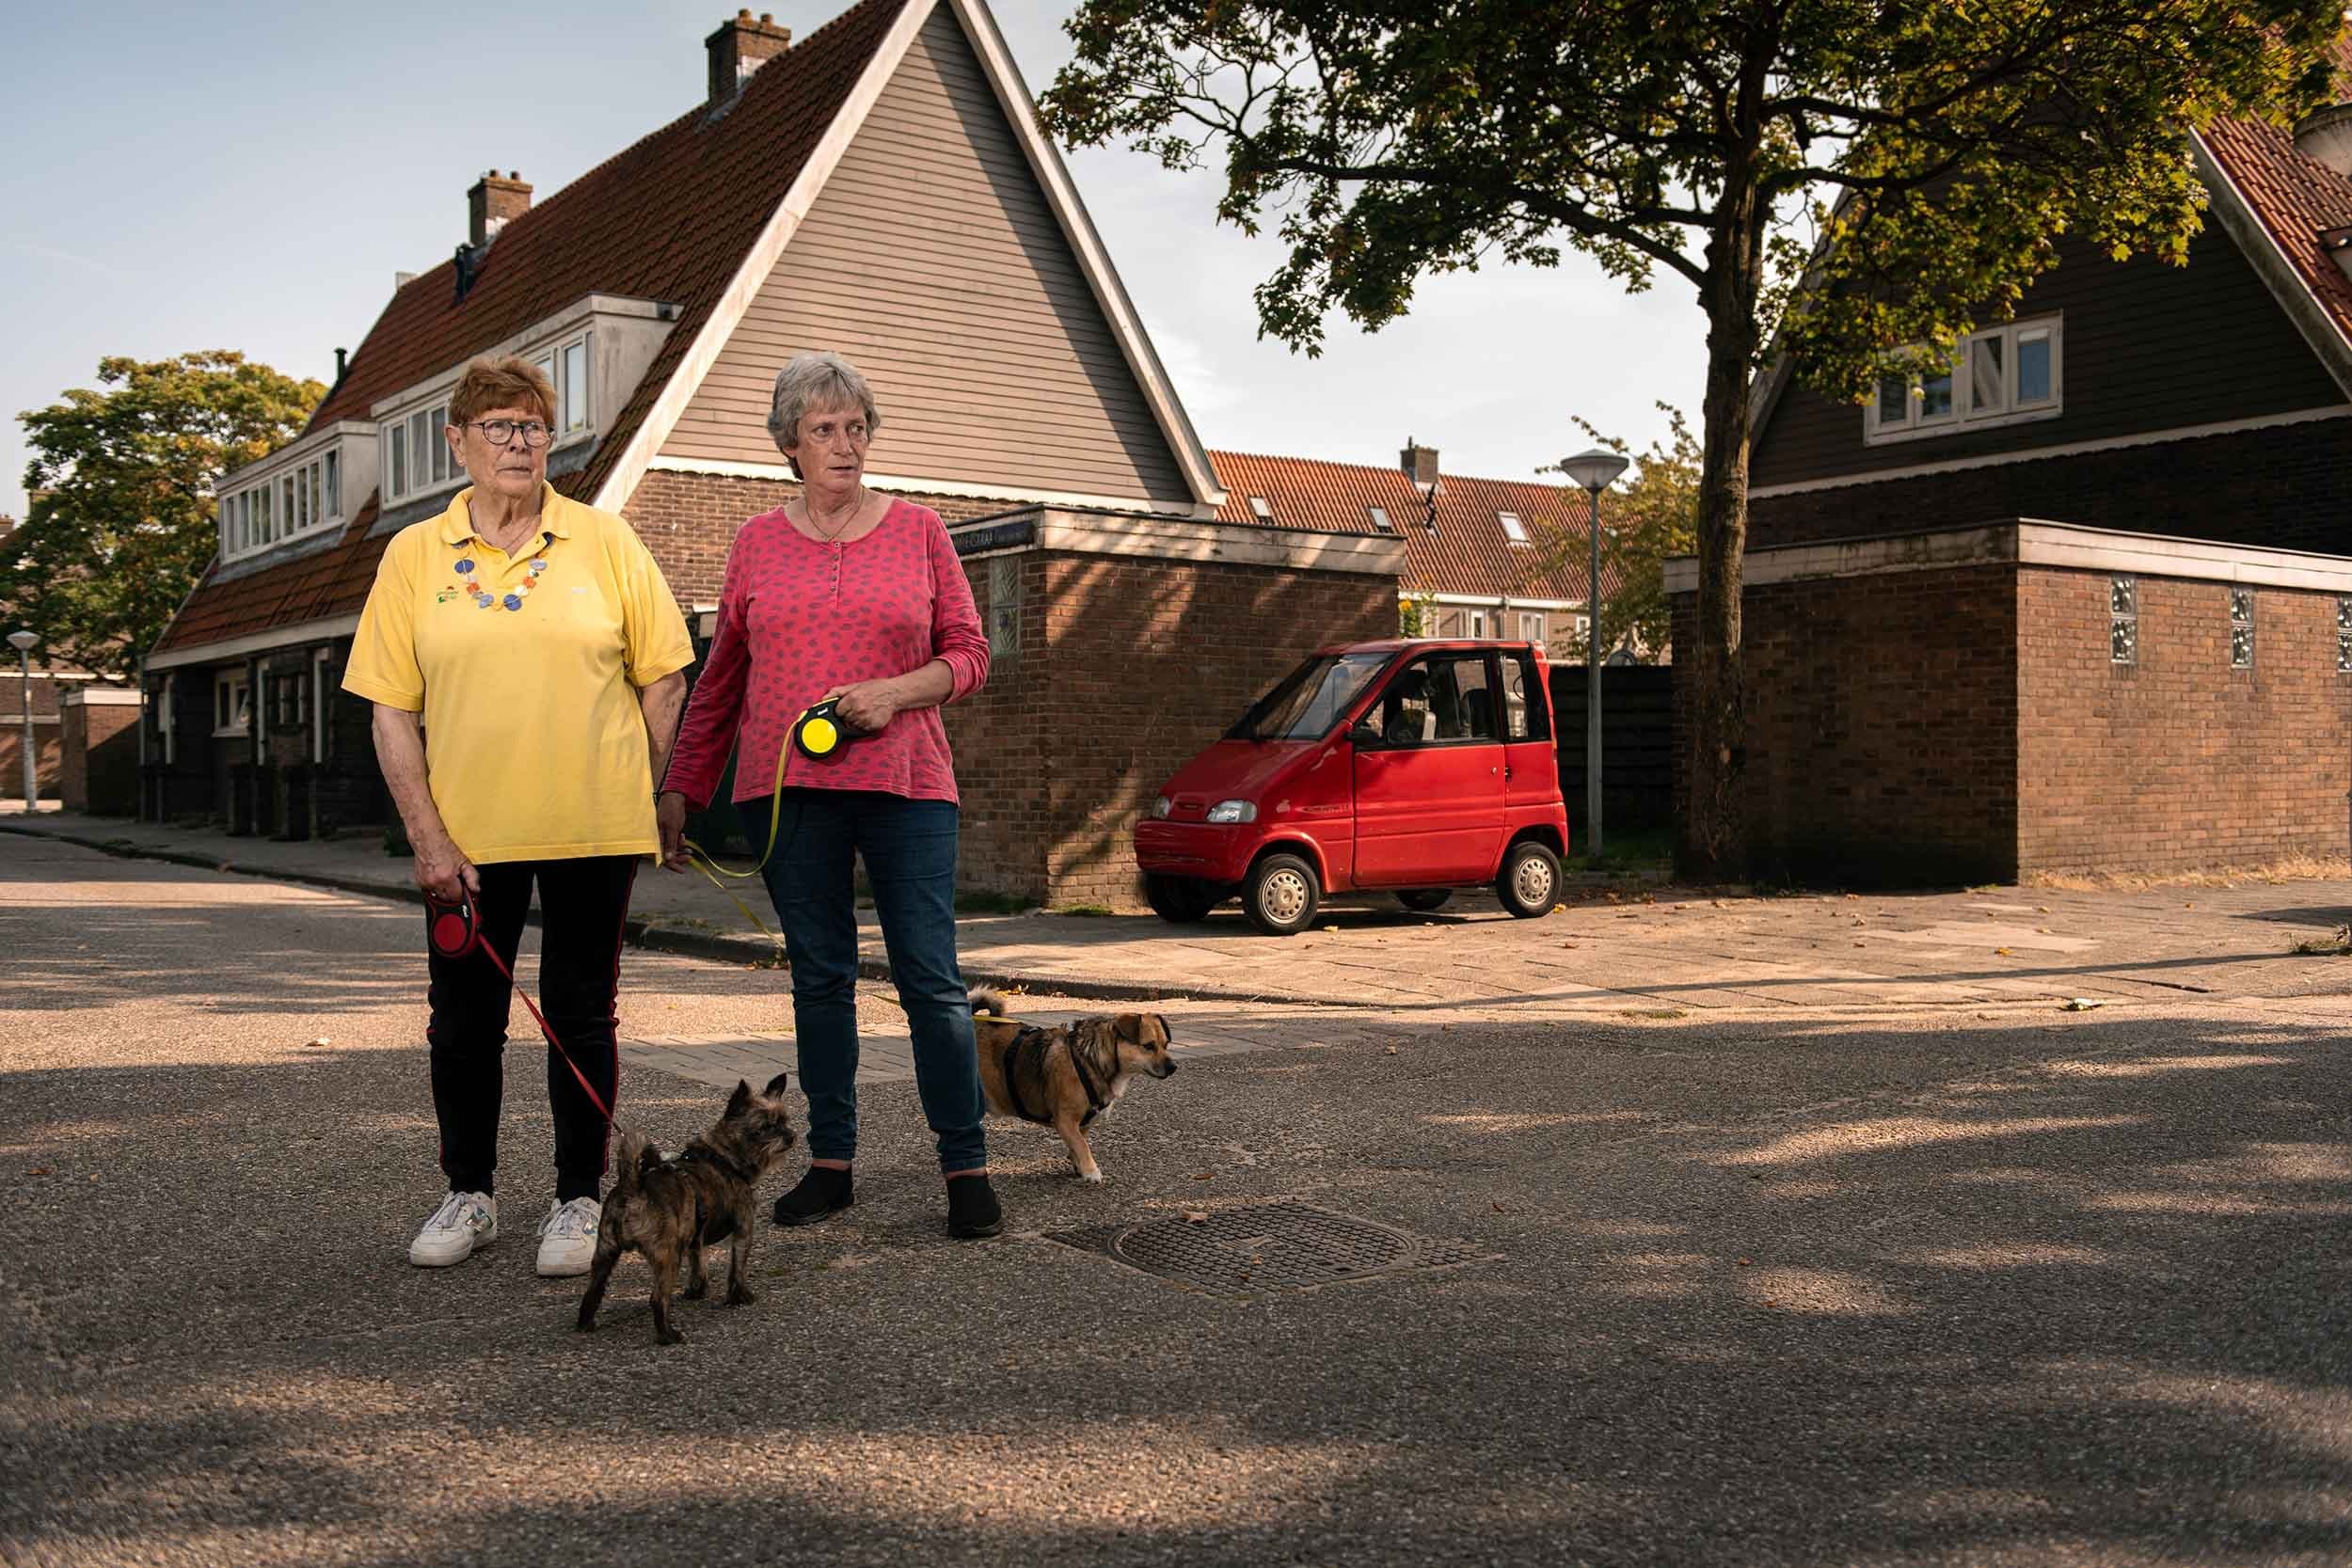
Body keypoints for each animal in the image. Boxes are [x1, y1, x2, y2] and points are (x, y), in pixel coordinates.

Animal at [571, 1081, 795, 1354]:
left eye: (783, 1120)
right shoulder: (744, 1228)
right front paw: (739, 1297)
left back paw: (586, 1323)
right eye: (765, 1127)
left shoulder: (695, 1237)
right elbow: (737, 1267)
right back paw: (668, 1335)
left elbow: (699, 1264)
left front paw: (697, 1291)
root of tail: (632, 1187)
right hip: (668, 1256)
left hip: (605, 1253)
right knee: (657, 1299)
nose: (790, 1136)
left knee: (592, 1293)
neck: (723, 1158)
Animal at [964, 987, 1176, 1184]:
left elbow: (1079, 1143)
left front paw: (1079, 1165)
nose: (1174, 1067)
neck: (1090, 1060)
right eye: (1148, 1046)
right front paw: (1091, 1170)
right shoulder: (1064, 1121)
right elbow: (1082, 1145)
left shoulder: (1084, 1123)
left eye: (1166, 1044)